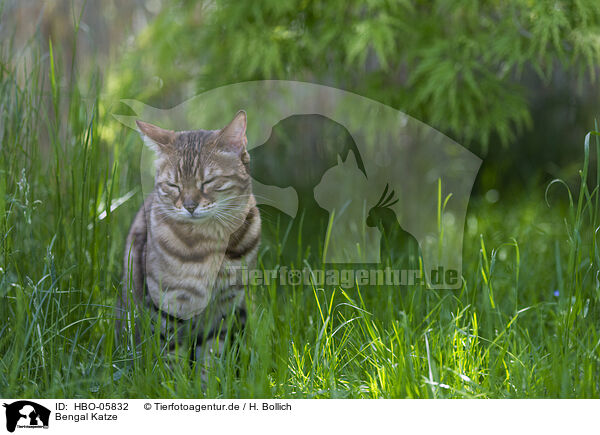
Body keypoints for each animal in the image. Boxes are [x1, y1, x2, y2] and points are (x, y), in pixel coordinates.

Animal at [116, 110, 258, 362]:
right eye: (174, 185)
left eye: (208, 182)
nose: (190, 206)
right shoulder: (167, 306)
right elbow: (170, 357)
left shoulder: (225, 307)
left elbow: (213, 354)